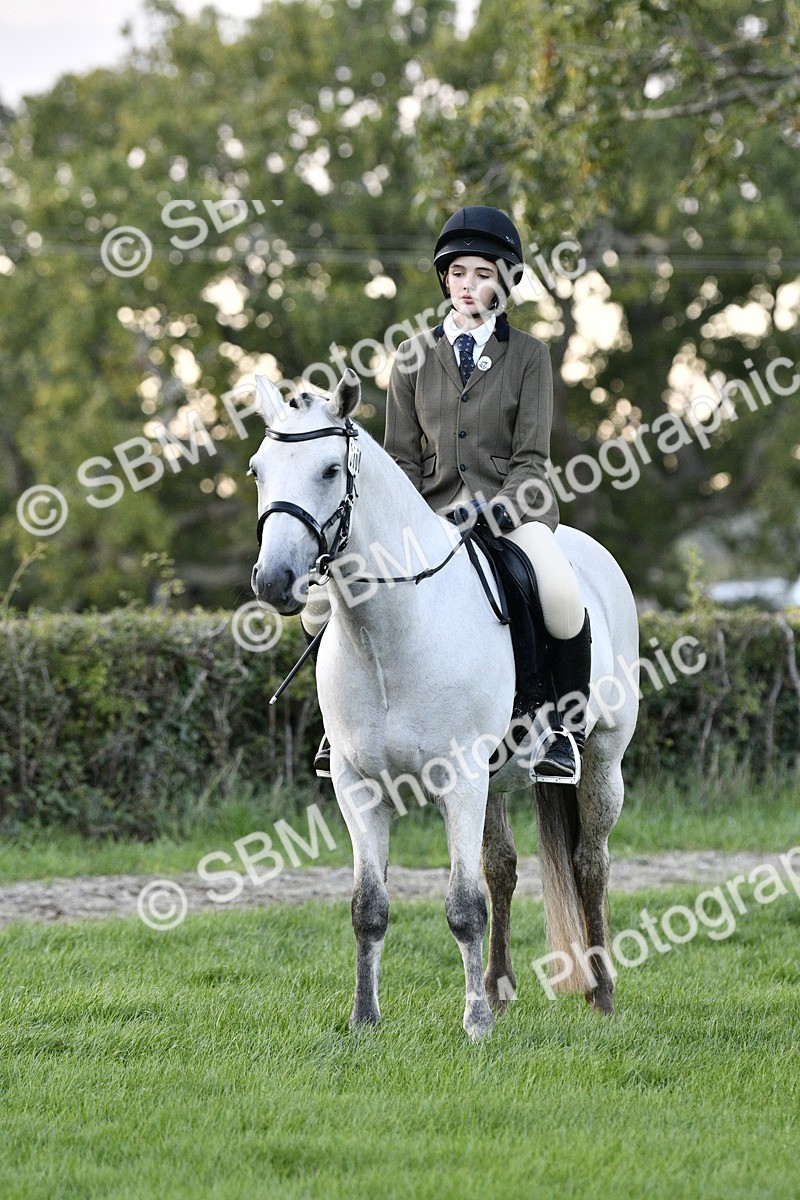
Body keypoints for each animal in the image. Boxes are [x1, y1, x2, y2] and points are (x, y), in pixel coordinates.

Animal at [250, 368, 639, 1041]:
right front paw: (365, 1019)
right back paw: (502, 988)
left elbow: (463, 906)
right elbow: (369, 906)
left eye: (329, 470)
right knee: (503, 868)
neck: (391, 633)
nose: (273, 582)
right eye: (257, 471)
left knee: (590, 863)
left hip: (602, 759)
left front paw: (475, 1025)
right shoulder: (357, 785)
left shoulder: (458, 777)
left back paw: (601, 993)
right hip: (497, 779)